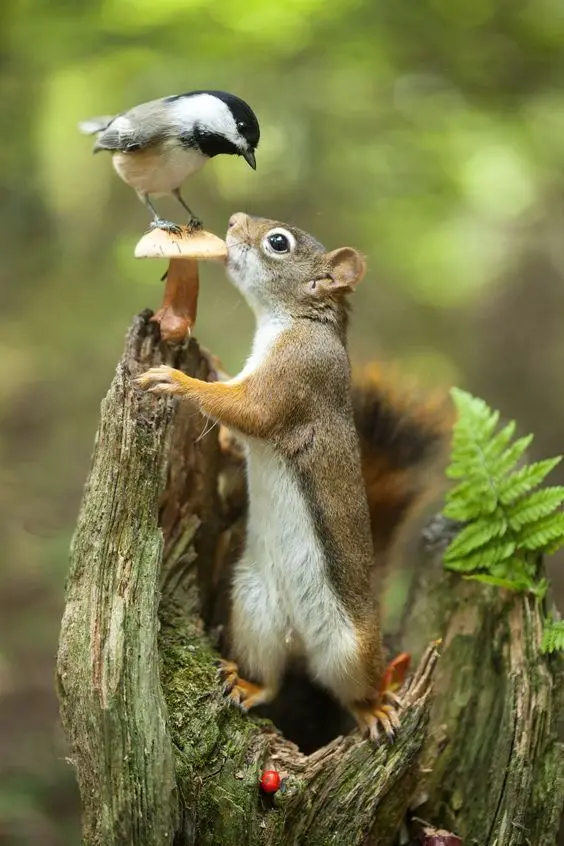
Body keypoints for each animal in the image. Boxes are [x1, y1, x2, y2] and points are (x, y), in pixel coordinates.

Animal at [136, 212, 451, 741]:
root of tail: (300, 639)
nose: (233, 221)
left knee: (354, 689)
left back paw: (375, 708)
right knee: (273, 679)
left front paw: (177, 380)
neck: (293, 321)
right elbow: (236, 430)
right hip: (254, 610)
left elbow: (247, 411)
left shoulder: (295, 377)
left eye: (278, 243)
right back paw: (247, 685)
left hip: (350, 648)